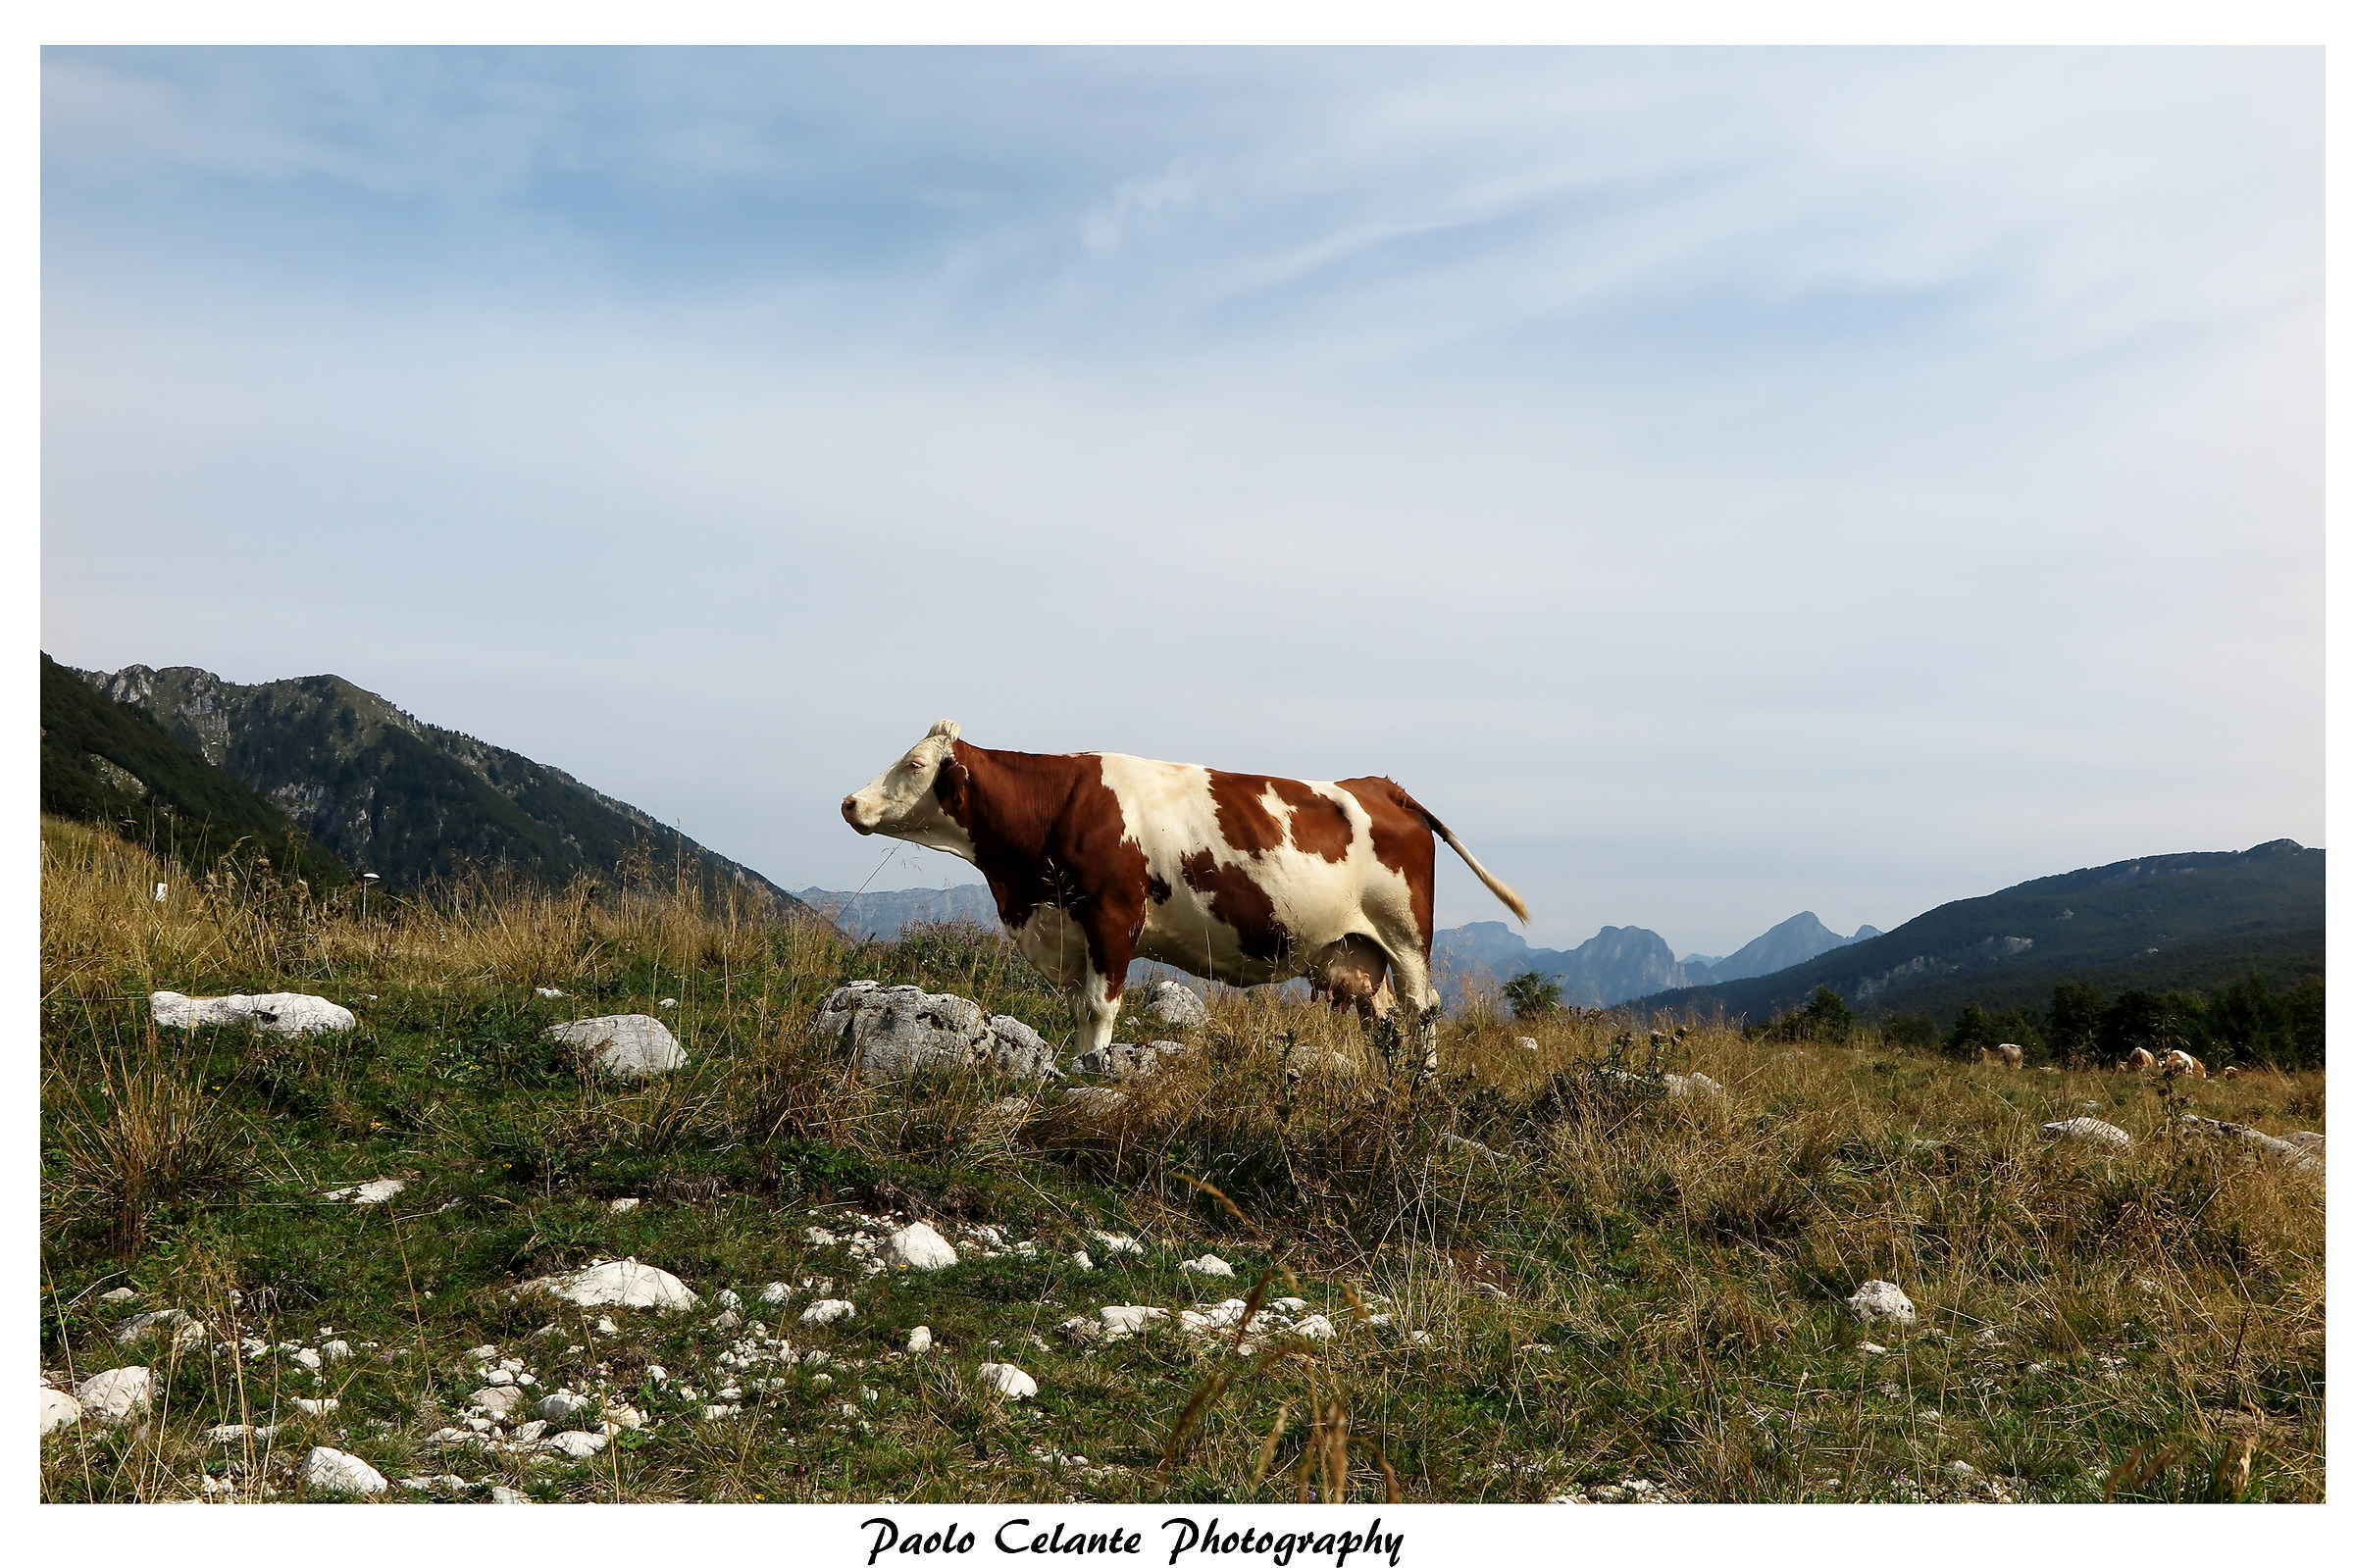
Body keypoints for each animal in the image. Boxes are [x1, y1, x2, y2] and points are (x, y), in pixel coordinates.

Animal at [839, 721, 1529, 1074]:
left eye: (913, 764)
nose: (849, 802)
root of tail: (1384, 785)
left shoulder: (1113, 916)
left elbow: (1100, 1010)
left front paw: (1092, 1074)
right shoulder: (1068, 928)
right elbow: (1079, 1010)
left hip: (1407, 934)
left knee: (1422, 1010)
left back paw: (1421, 1089)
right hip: (1355, 951)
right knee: (1384, 1020)